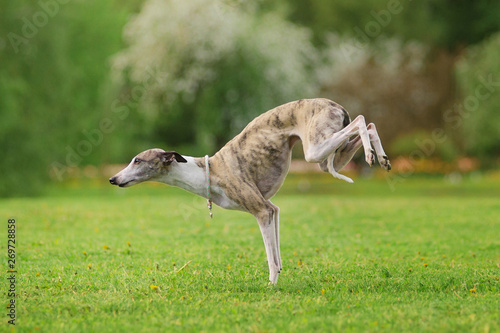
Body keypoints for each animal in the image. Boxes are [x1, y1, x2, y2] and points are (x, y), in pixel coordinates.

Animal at [109, 98, 390, 282]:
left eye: (137, 160)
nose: (113, 179)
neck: (207, 171)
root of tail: (334, 104)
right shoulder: (273, 209)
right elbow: (276, 252)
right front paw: (278, 276)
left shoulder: (262, 210)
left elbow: (270, 256)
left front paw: (272, 285)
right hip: (326, 158)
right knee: (369, 124)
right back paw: (382, 158)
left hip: (315, 150)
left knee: (360, 121)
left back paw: (370, 153)